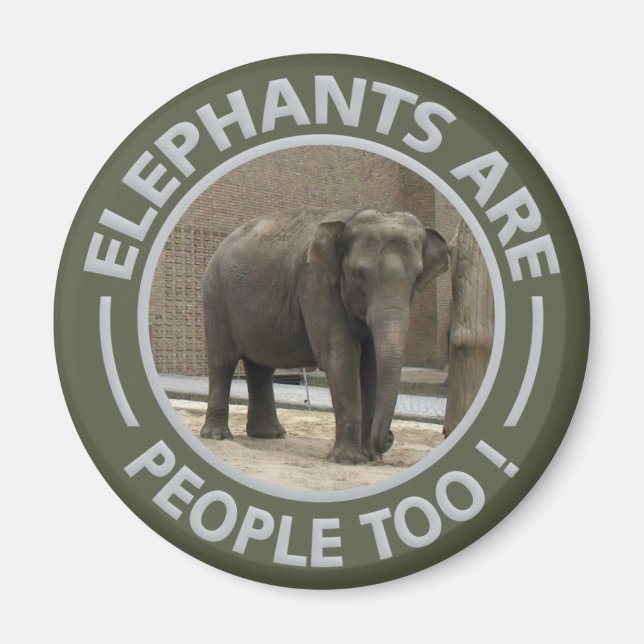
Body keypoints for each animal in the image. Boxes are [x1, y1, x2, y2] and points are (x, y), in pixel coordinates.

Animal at [200, 207, 448, 464]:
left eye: (417, 276)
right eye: (359, 274)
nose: (389, 438)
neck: (348, 219)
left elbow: (371, 365)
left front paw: (370, 458)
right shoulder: (315, 284)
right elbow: (341, 357)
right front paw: (349, 460)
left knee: (261, 367)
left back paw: (269, 435)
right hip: (215, 297)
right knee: (223, 361)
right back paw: (218, 436)